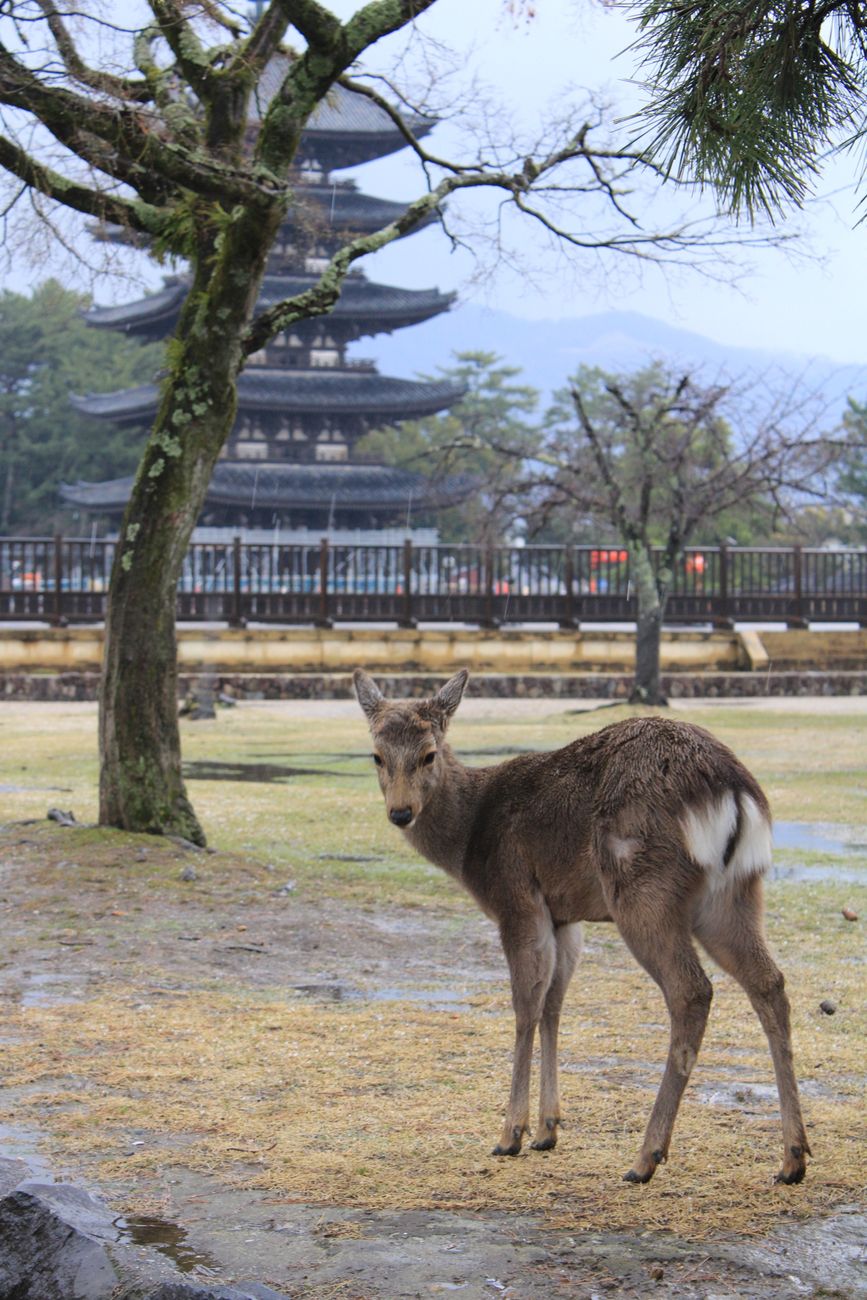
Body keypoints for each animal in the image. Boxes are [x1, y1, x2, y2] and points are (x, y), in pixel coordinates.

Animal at [353, 668, 811, 1186]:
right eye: (376, 754)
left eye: (429, 753)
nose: (400, 812)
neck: (469, 842)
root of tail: (733, 790)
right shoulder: (565, 919)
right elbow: (554, 1004)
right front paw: (548, 1130)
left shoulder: (518, 901)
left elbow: (525, 1008)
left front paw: (510, 1134)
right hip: (735, 893)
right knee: (769, 982)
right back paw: (792, 1158)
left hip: (642, 891)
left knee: (692, 990)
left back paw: (645, 1157)